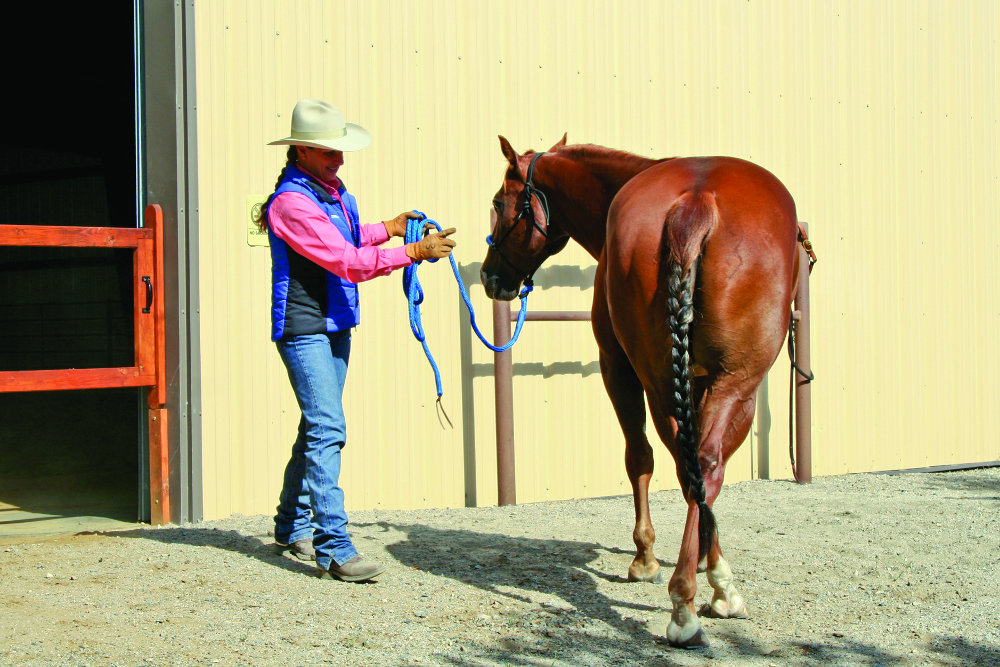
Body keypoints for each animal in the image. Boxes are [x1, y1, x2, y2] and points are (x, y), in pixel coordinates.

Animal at [480, 134, 800, 648]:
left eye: (497, 202)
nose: (490, 277)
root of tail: (697, 202)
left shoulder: (619, 370)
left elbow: (641, 458)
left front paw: (646, 558)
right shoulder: (688, 378)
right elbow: (685, 468)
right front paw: (709, 566)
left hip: (688, 381)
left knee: (694, 463)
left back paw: (688, 598)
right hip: (727, 382)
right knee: (704, 463)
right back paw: (697, 596)